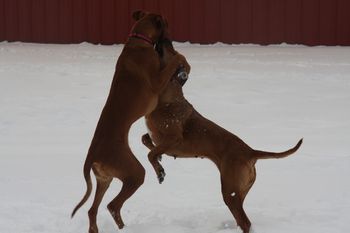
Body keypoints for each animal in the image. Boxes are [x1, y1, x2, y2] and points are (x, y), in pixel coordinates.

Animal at [71, 10, 190, 233]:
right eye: (167, 23)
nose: (168, 40)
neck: (138, 40)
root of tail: (92, 155)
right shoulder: (157, 81)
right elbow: (175, 61)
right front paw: (180, 57)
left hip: (105, 179)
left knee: (92, 210)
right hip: (134, 172)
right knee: (113, 205)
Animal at [144, 38, 302, 233]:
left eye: (173, 52)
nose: (164, 39)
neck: (168, 97)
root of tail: (250, 152)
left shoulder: (174, 140)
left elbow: (150, 153)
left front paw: (159, 171)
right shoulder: (159, 140)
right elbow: (147, 141)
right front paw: (159, 162)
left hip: (229, 190)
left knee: (244, 221)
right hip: (240, 190)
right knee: (242, 219)